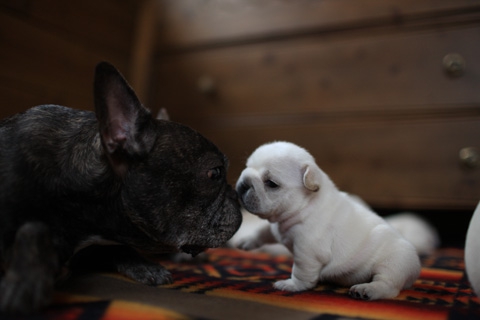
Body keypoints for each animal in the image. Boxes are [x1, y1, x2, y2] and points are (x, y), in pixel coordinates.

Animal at [235, 142, 420, 300]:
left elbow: (301, 271)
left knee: (388, 285)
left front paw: (292, 285)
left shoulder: (306, 251)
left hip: (394, 262)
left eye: (271, 183)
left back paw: (367, 289)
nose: (244, 183)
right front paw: (246, 241)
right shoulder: (276, 227)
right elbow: (263, 231)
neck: (302, 207)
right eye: (246, 167)